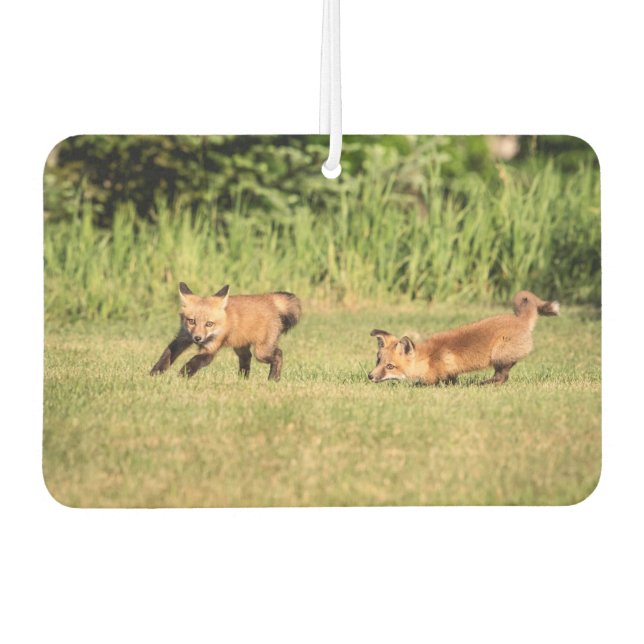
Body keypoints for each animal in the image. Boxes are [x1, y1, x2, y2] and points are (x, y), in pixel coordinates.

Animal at [150, 283, 302, 381]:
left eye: (209, 324)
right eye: (191, 321)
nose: (197, 338)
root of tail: (269, 298)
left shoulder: (211, 348)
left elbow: (195, 361)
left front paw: (182, 375)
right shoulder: (183, 337)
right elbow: (167, 355)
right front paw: (154, 373)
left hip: (261, 352)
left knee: (278, 354)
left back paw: (273, 379)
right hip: (241, 346)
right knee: (247, 357)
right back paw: (242, 380)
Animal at [368, 290, 560, 386]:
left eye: (390, 366)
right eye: (377, 361)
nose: (370, 376)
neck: (428, 359)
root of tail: (519, 319)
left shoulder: (440, 375)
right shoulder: (451, 373)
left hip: (499, 355)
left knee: (503, 377)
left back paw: (483, 384)